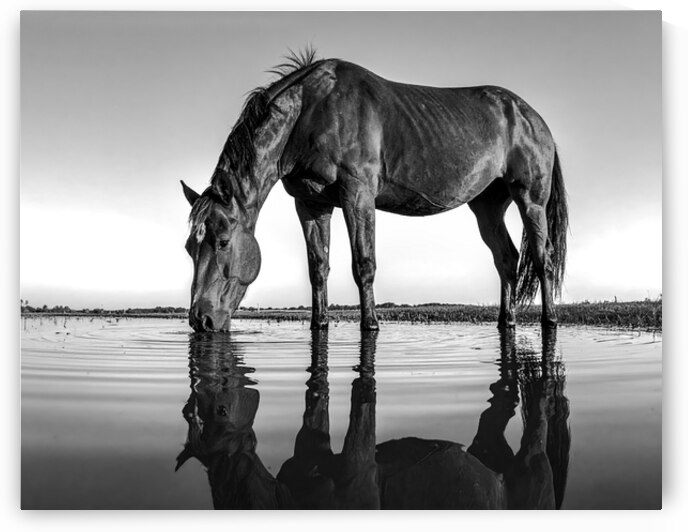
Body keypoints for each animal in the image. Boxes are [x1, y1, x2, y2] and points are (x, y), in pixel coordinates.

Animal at [182, 51, 568, 332]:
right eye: (189, 248)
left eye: (223, 242)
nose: (201, 321)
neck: (310, 112)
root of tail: (535, 119)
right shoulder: (310, 203)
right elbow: (318, 267)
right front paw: (319, 324)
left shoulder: (357, 195)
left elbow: (363, 264)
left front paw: (370, 325)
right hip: (487, 206)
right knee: (506, 259)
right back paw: (507, 321)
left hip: (530, 201)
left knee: (543, 258)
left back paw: (549, 320)